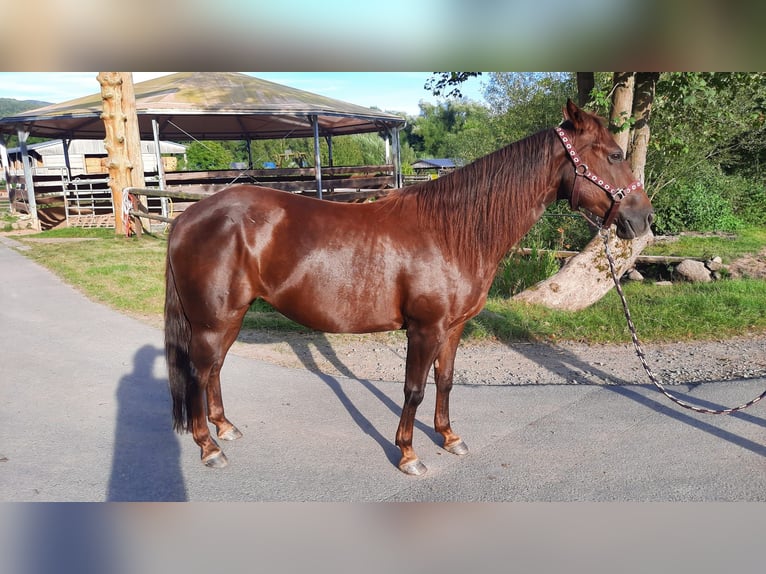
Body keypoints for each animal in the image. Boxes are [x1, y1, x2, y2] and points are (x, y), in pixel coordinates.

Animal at [164, 102, 656, 476]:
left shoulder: (453, 328)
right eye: (614, 155)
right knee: (198, 372)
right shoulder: (424, 328)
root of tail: (188, 217)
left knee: (214, 370)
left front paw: (450, 437)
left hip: (231, 317)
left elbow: (446, 380)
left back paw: (225, 428)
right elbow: (414, 389)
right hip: (214, 321)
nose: (643, 219)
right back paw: (209, 447)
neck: (451, 232)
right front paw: (408, 454)